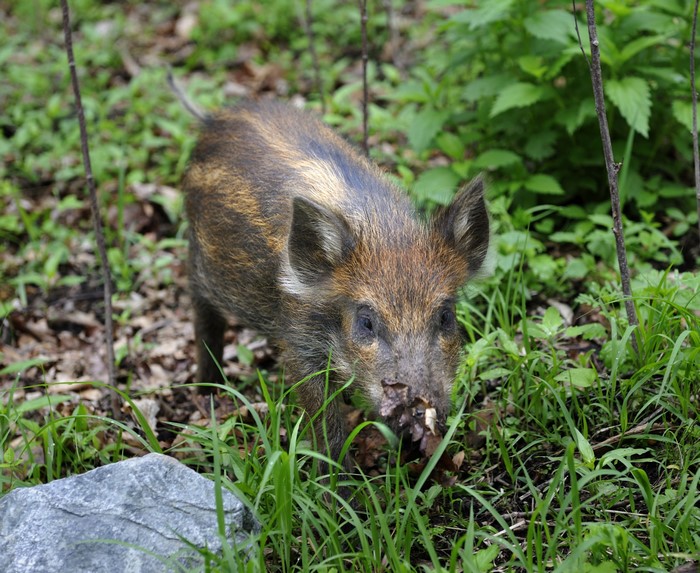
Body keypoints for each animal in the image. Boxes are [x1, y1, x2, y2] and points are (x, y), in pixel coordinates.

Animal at [182, 100, 489, 470]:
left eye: (445, 316)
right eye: (366, 321)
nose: (420, 407)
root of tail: (214, 118)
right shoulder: (299, 344)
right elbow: (324, 422)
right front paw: (337, 483)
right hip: (199, 265)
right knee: (202, 314)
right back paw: (208, 390)